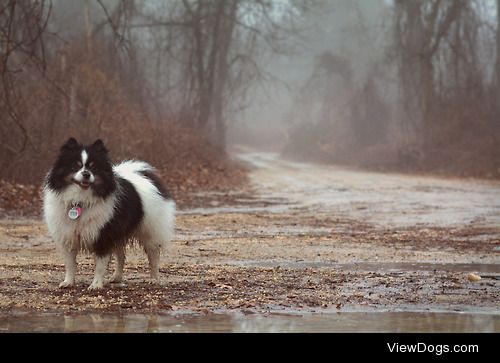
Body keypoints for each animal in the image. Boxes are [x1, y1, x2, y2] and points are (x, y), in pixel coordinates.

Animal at [43, 138, 176, 292]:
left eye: (93, 167)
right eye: (76, 166)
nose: (86, 174)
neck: (80, 201)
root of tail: (144, 175)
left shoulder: (103, 236)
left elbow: (100, 265)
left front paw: (96, 284)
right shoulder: (69, 236)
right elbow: (70, 264)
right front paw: (68, 282)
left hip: (149, 231)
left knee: (153, 257)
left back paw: (154, 279)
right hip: (119, 233)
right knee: (121, 257)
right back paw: (117, 277)